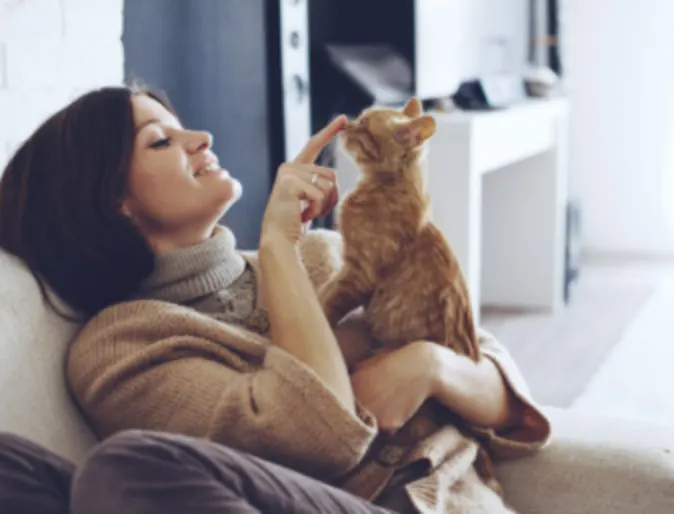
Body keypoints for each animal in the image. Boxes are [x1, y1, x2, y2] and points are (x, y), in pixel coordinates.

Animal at [316, 95, 498, 488]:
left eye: (365, 127)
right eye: (358, 118)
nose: (345, 122)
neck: (384, 186)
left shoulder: (358, 275)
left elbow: (327, 300)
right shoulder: (348, 270)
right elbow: (323, 288)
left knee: (406, 436)